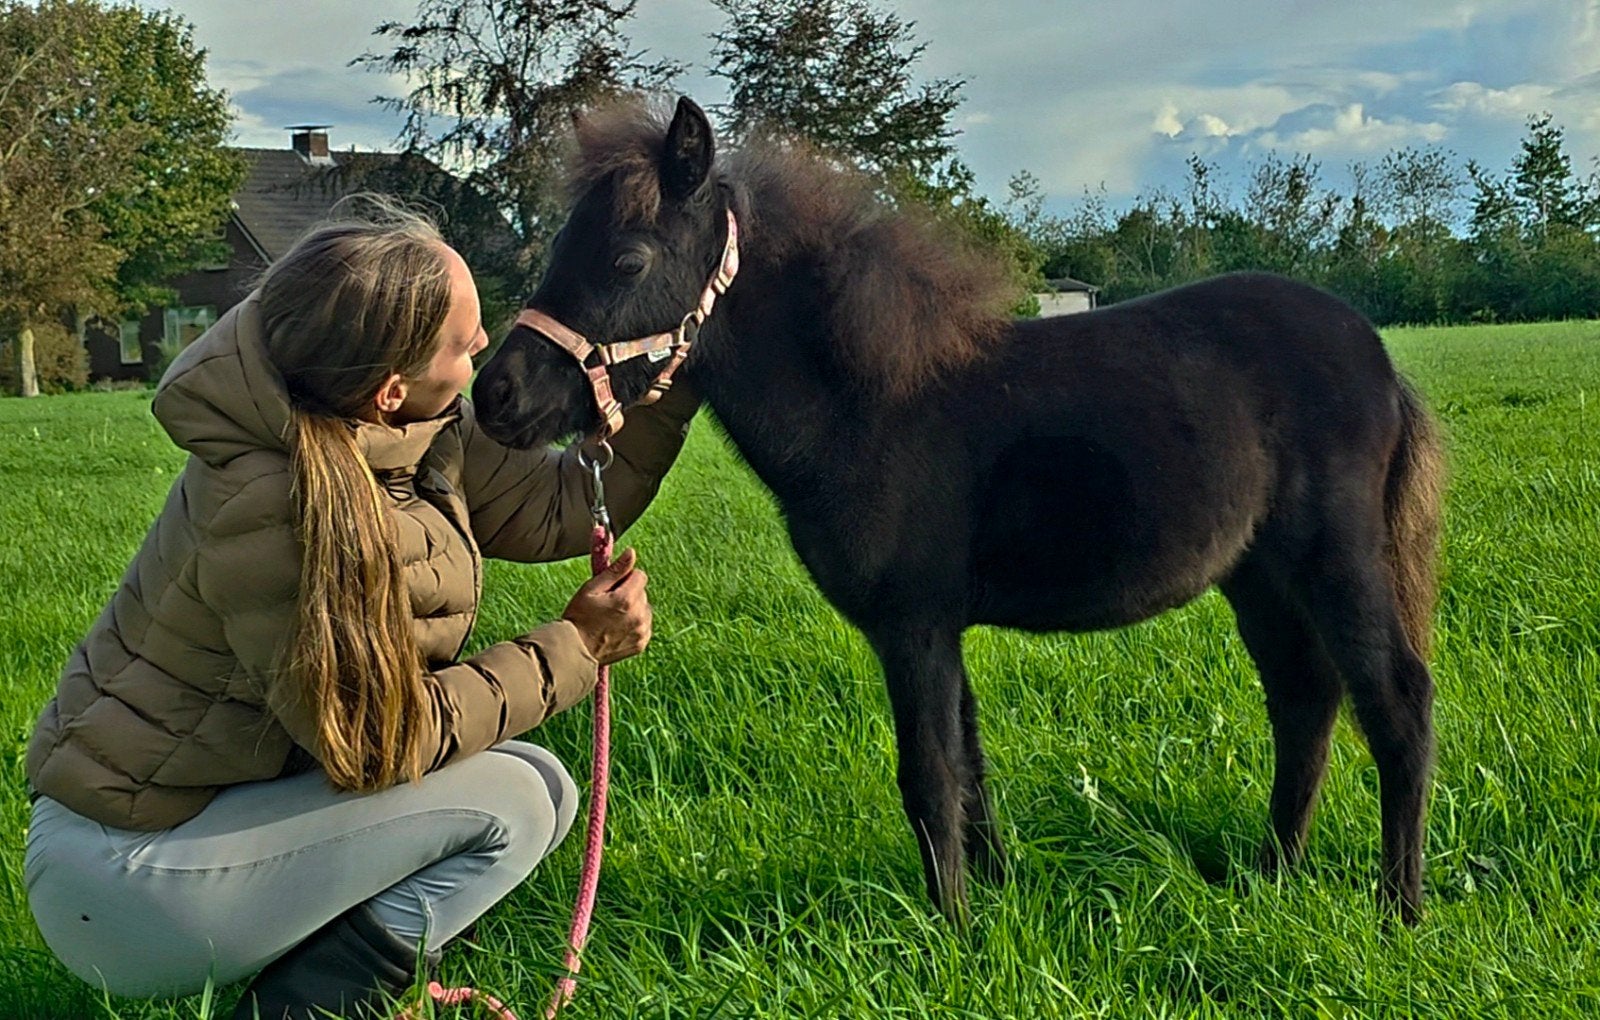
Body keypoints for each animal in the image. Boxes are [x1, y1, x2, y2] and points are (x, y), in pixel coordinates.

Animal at [471, 96, 1445, 925]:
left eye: (628, 260)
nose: (495, 395)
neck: (866, 404)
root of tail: (1379, 356)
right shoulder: (940, 626)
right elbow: (970, 765)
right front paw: (998, 899)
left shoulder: (913, 623)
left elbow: (930, 776)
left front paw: (954, 929)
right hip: (1260, 574)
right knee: (1304, 697)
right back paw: (1272, 876)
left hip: (1335, 558)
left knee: (1395, 700)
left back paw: (1397, 910)